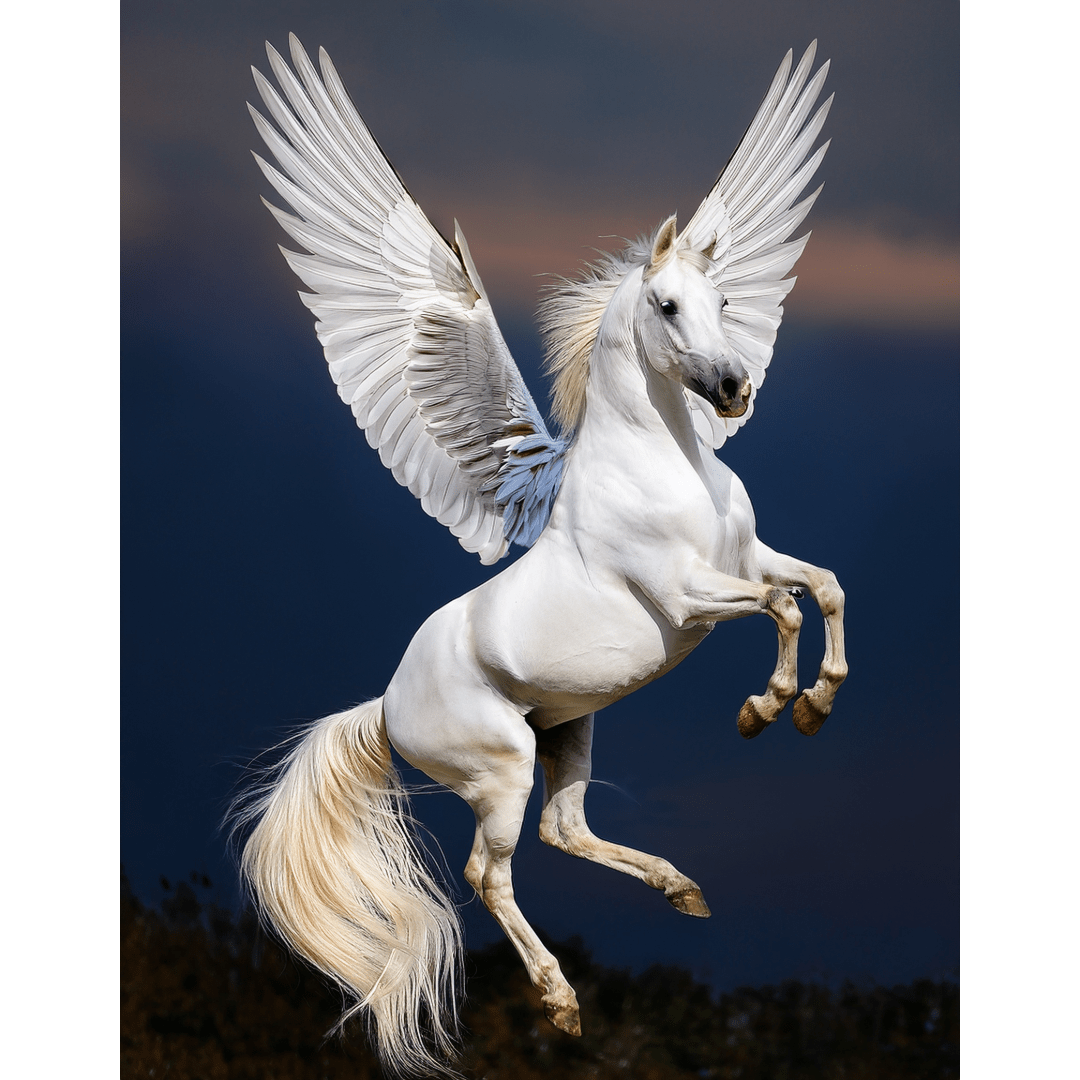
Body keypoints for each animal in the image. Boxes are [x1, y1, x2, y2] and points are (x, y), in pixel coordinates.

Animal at [233, 35, 846, 1078]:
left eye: (728, 298)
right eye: (667, 305)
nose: (733, 389)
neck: (664, 463)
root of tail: (385, 704)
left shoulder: (751, 552)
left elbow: (823, 588)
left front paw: (815, 703)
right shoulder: (688, 596)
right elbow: (786, 607)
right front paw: (767, 709)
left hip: (568, 731)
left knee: (566, 832)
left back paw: (680, 890)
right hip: (503, 763)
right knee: (491, 873)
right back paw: (561, 1000)